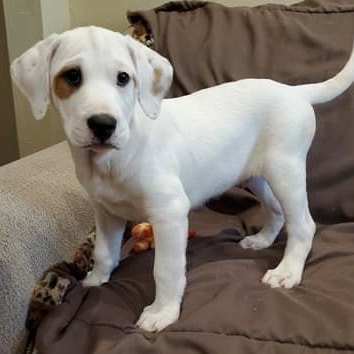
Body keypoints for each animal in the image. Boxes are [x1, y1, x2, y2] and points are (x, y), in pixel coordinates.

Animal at [11, 27, 354, 332]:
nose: (104, 125)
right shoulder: (106, 212)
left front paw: (162, 312)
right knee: (278, 211)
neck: (110, 160)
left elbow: (165, 269)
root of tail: (294, 90)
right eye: (72, 76)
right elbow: (104, 252)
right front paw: (96, 279)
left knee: (304, 224)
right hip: (258, 175)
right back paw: (262, 240)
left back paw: (287, 271)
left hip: (286, 171)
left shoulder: (170, 213)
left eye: (123, 78)